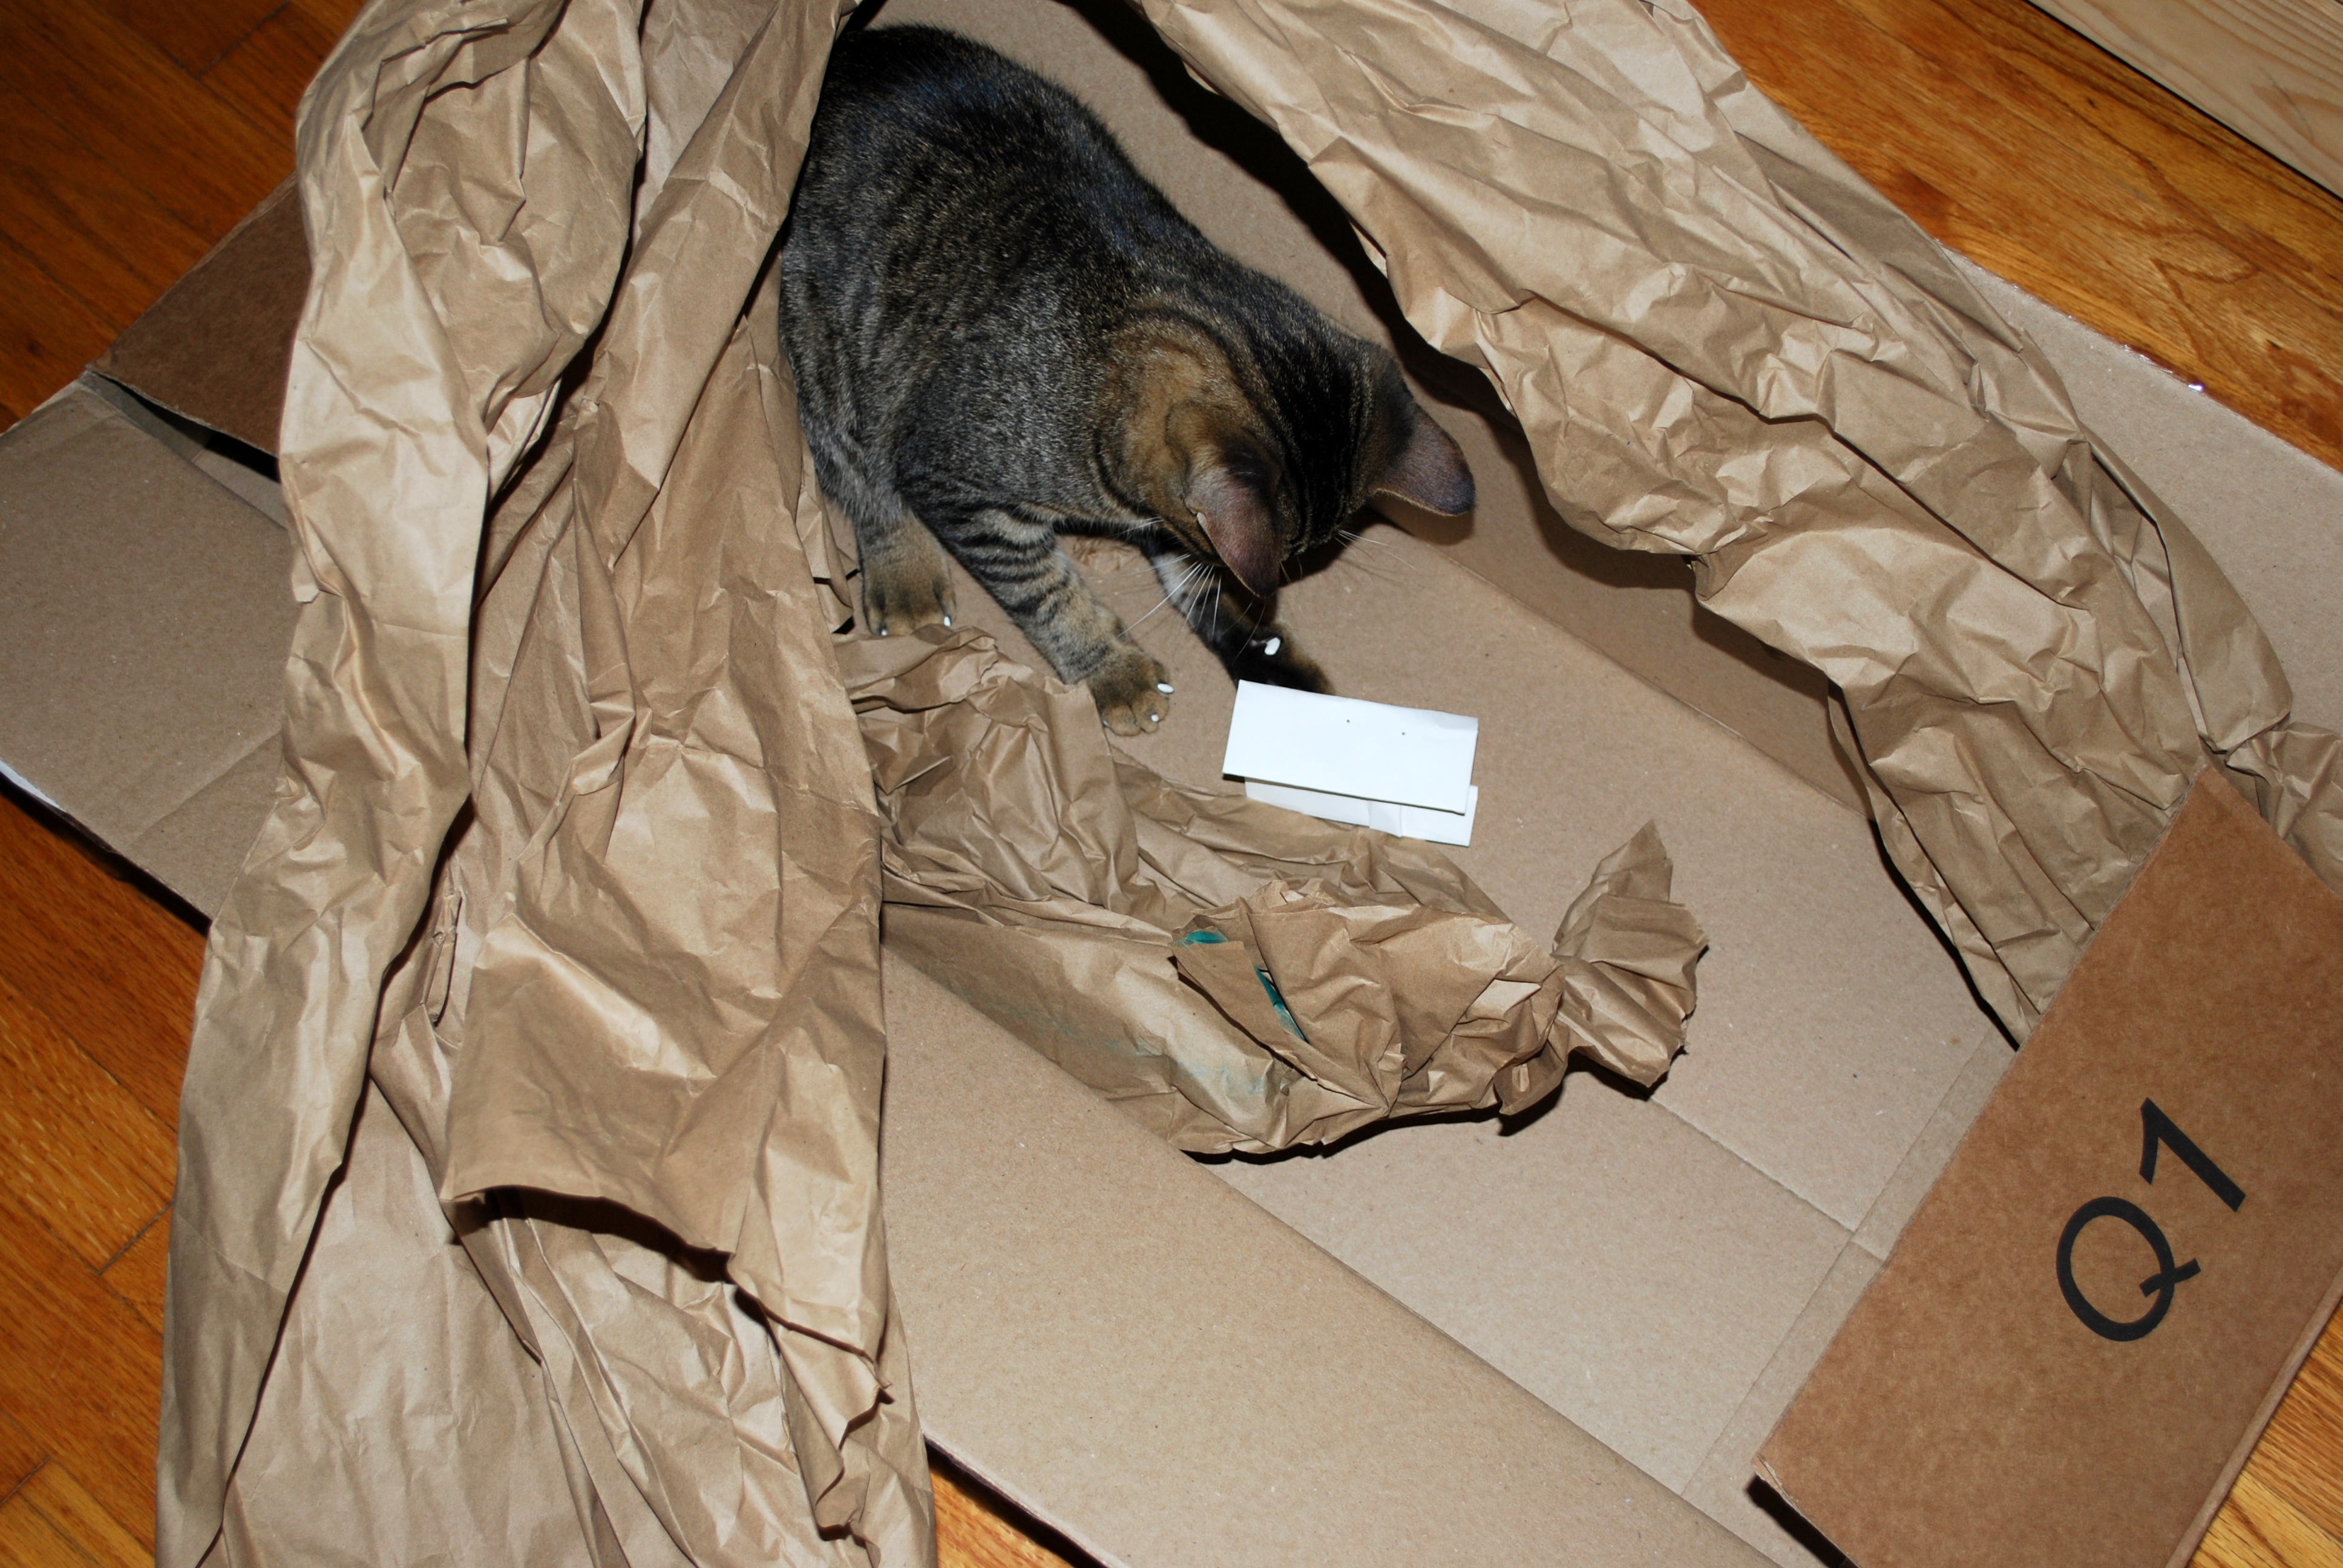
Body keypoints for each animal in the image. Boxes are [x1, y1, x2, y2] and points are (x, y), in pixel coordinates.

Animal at [778, 24, 1474, 734]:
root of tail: (849, 50)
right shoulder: (950, 476)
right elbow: (1043, 590)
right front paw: (1113, 669)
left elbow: (1199, 588)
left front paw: (1269, 663)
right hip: (823, 343)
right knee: (853, 467)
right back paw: (904, 573)